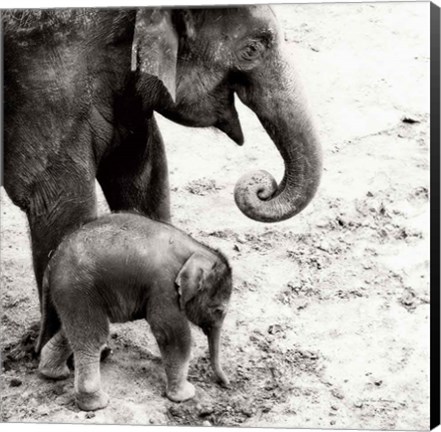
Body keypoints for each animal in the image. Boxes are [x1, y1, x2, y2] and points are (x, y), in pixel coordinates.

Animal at [36, 213, 232, 412]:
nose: (226, 384)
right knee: (92, 338)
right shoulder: (164, 286)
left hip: (72, 295)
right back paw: (96, 404)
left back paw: (54, 373)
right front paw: (186, 395)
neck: (196, 249)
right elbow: (172, 334)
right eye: (219, 310)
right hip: (77, 289)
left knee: (72, 331)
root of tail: (51, 264)